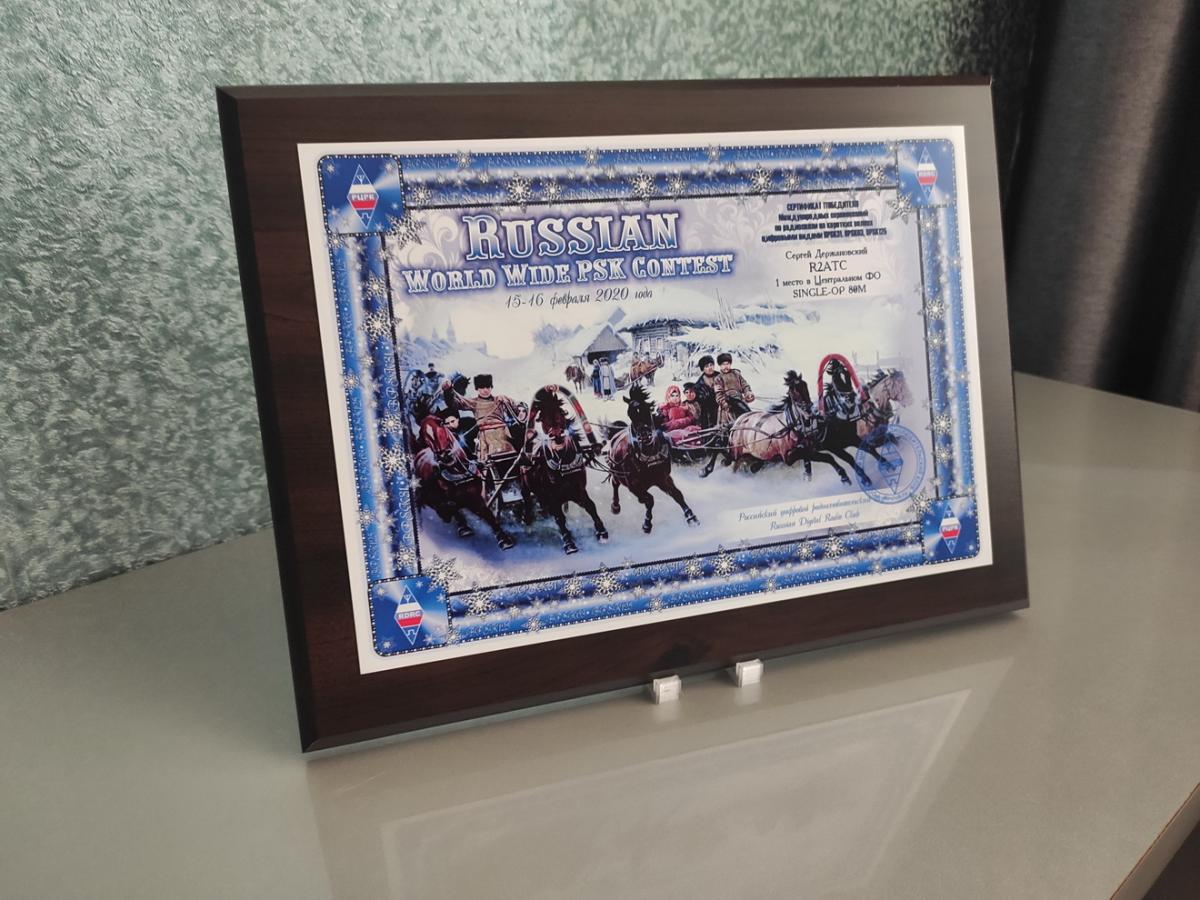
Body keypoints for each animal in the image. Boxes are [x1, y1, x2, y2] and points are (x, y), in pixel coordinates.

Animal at [413, 415, 515, 550]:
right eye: (423, 434)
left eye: (441, 423)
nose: (444, 457)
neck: (459, 472)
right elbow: (451, 507)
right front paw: (460, 524)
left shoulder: (477, 497)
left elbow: (488, 514)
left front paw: (504, 539)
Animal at [522, 387, 609, 554]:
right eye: (542, 418)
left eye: (561, 413)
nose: (557, 436)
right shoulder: (552, 497)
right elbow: (559, 518)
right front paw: (569, 543)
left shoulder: (579, 490)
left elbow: (590, 506)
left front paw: (601, 532)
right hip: (526, 485)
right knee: (527, 500)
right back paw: (528, 522)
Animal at [607, 385, 699, 533]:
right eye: (630, 413)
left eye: (646, 408)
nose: (644, 436)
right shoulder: (634, 486)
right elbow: (649, 500)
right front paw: (647, 524)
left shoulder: (663, 478)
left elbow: (677, 494)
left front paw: (691, 517)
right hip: (616, 473)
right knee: (615, 484)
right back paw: (615, 507)